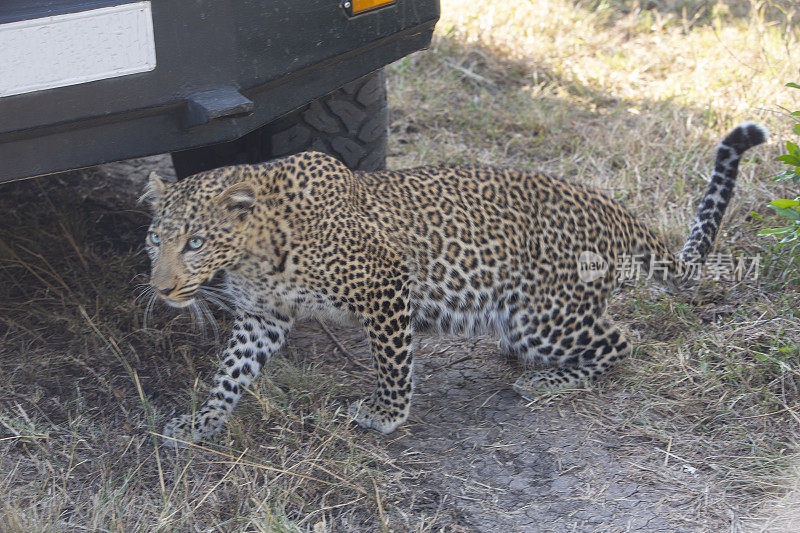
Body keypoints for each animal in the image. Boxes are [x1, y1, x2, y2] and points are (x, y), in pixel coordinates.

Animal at [141, 120, 764, 444]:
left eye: (195, 242)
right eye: (155, 241)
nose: (163, 289)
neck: (254, 253)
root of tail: (610, 207)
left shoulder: (385, 285)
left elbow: (393, 362)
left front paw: (386, 414)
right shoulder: (262, 316)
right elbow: (232, 371)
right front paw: (202, 422)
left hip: (544, 316)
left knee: (620, 341)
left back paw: (548, 382)